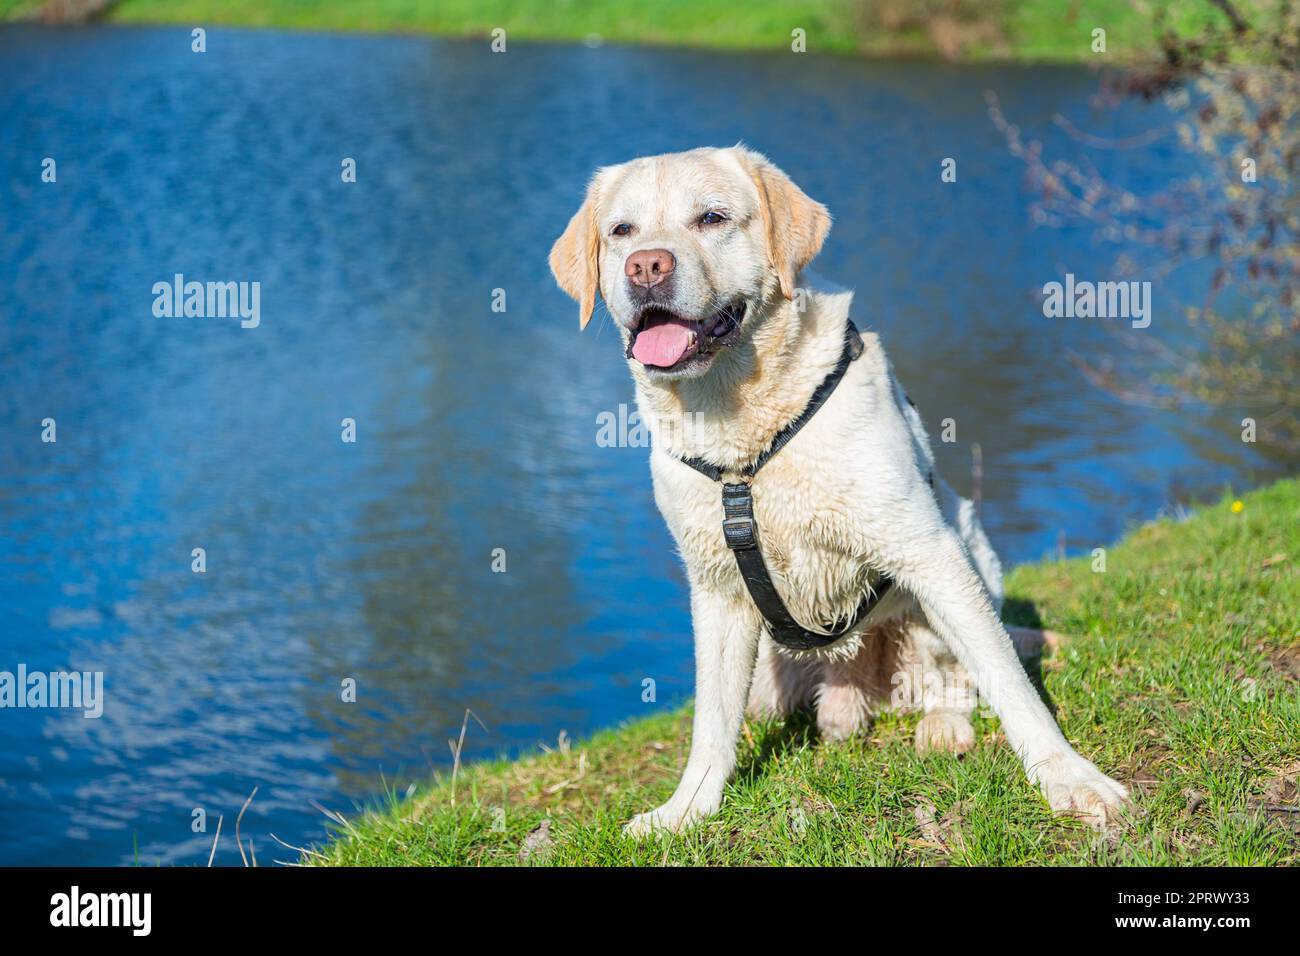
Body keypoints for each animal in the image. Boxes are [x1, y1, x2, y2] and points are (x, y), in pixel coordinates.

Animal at [548, 143, 1128, 837]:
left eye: (711, 218)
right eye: (621, 232)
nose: (647, 265)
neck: (741, 437)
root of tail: (854, 676)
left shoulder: (927, 549)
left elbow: (1009, 682)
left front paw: (1070, 780)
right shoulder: (716, 589)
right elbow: (710, 723)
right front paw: (687, 810)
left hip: (963, 569)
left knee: (960, 676)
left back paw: (943, 727)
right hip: (777, 678)